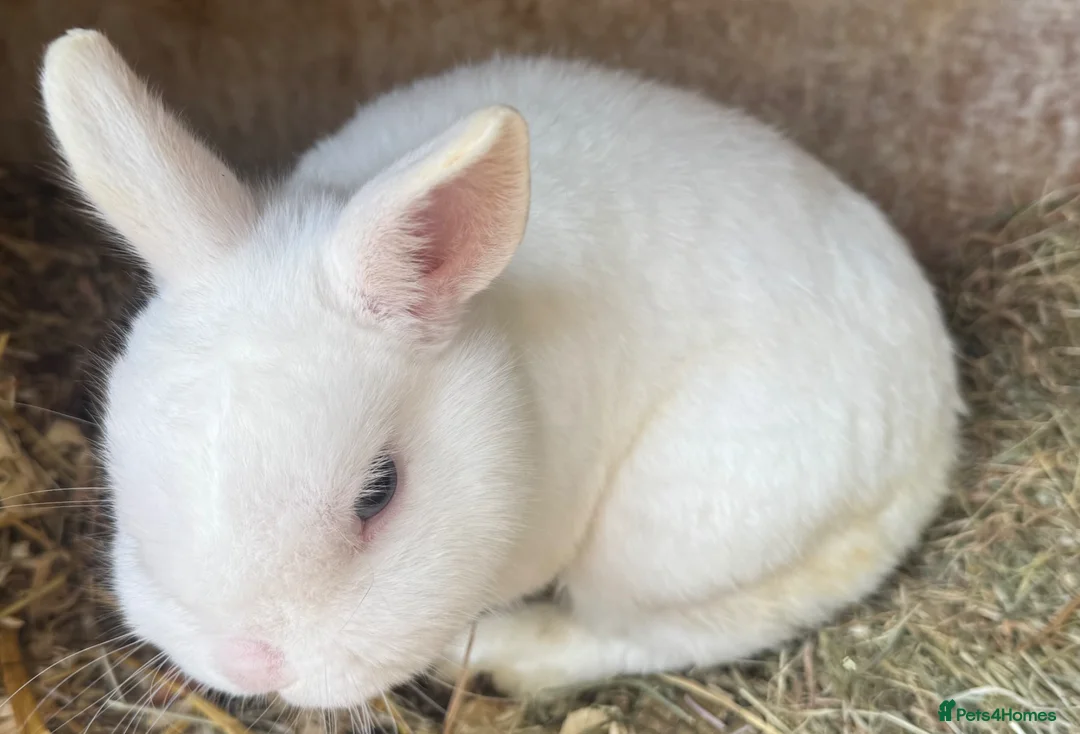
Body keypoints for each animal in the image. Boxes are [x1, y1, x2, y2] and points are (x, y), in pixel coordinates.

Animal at [40, 28, 962, 709]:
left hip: (672, 537)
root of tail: (937, 407)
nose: (250, 664)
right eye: (121, 461)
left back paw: (504, 655)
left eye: (379, 492)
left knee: (654, 632)